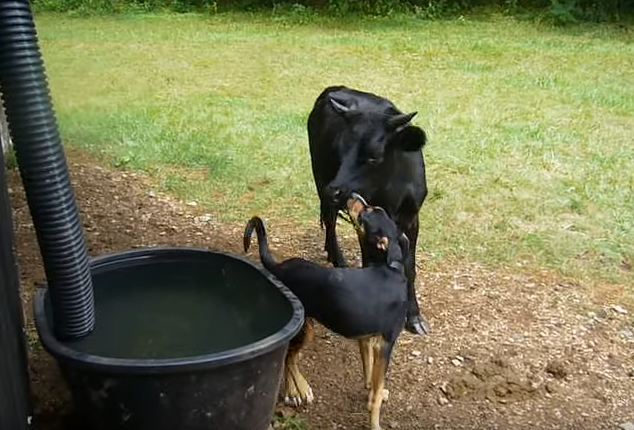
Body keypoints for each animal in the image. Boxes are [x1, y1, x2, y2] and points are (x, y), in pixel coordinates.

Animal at [244, 196, 408, 430]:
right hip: (303, 328)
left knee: (290, 357)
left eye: (368, 211)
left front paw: (369, 391)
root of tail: (279, 267)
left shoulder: (366, 339)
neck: (390, 267)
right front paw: (375, 422)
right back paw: (296, 391)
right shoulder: (386, 344)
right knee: (288, 358)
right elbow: (377, 393)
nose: (354, 195)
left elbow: (369, 373)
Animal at [308, 85, 430, 336]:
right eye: (340, 151)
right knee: (330, 221)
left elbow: (410, 268)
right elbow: (368, 260)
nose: (333, 190)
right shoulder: (362, 218)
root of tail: (334, 88)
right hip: (320, 177)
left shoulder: (412, 217)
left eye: (374, 157)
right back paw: (338, 258)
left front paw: (414, 317)